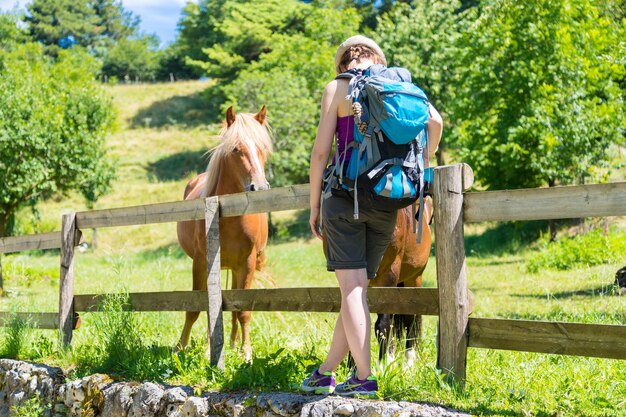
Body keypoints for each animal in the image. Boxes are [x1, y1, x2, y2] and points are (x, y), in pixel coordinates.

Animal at [177, 105, 272, 358]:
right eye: (236, 149)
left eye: (263, 148)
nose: (259, 187)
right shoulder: (201, 262)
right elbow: (197, 309)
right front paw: (182, 347)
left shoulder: (247, 263)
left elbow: (243, 311)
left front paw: (246, 353)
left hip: (236, 268)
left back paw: (232, 343)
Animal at [370, 200, 428, 366]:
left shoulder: (389, 276)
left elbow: (383, 325)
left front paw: (383, 365)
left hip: (413, 279)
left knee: (409, 318)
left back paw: (408, 362)